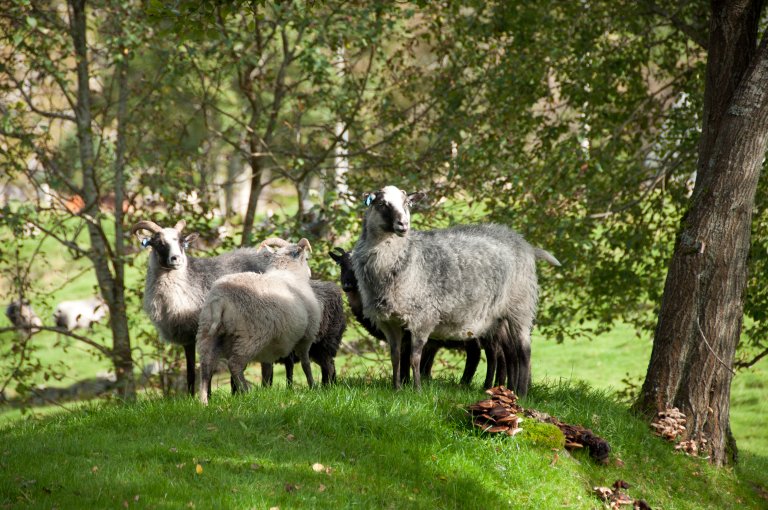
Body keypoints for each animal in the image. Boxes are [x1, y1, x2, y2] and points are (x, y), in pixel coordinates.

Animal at [132, 219, 276, 394]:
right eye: (159, 243)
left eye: (182, 242)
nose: (176, 259)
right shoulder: (187, 337)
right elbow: (190, 372)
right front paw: (191, 395)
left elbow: (208, 369)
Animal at [198, 237, 320, 404]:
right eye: (306, 258)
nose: (310, 273)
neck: (288, 272)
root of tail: (220, 299)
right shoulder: (306, 336)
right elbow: (306, 364)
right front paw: (313, 386)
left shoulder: (270, 347)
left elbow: (267, 370)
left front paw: (266, 390)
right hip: (251, 336)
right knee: (234, 364)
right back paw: (246, 393)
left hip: (207, 332)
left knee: (206, 366)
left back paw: (204, 401)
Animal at [352, 185, 560, 396]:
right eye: (381, 203)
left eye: (407, 203)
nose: (403, 224)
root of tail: (523, 242)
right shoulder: (388, 321)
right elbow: (395, 356)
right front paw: (396, 389)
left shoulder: (422, 318)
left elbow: (414, 357)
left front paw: (417, 390)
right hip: (497, 316)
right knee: (509, 351)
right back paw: (508, 390)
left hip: (520, 305)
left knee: (524, 351)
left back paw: (522, 394)